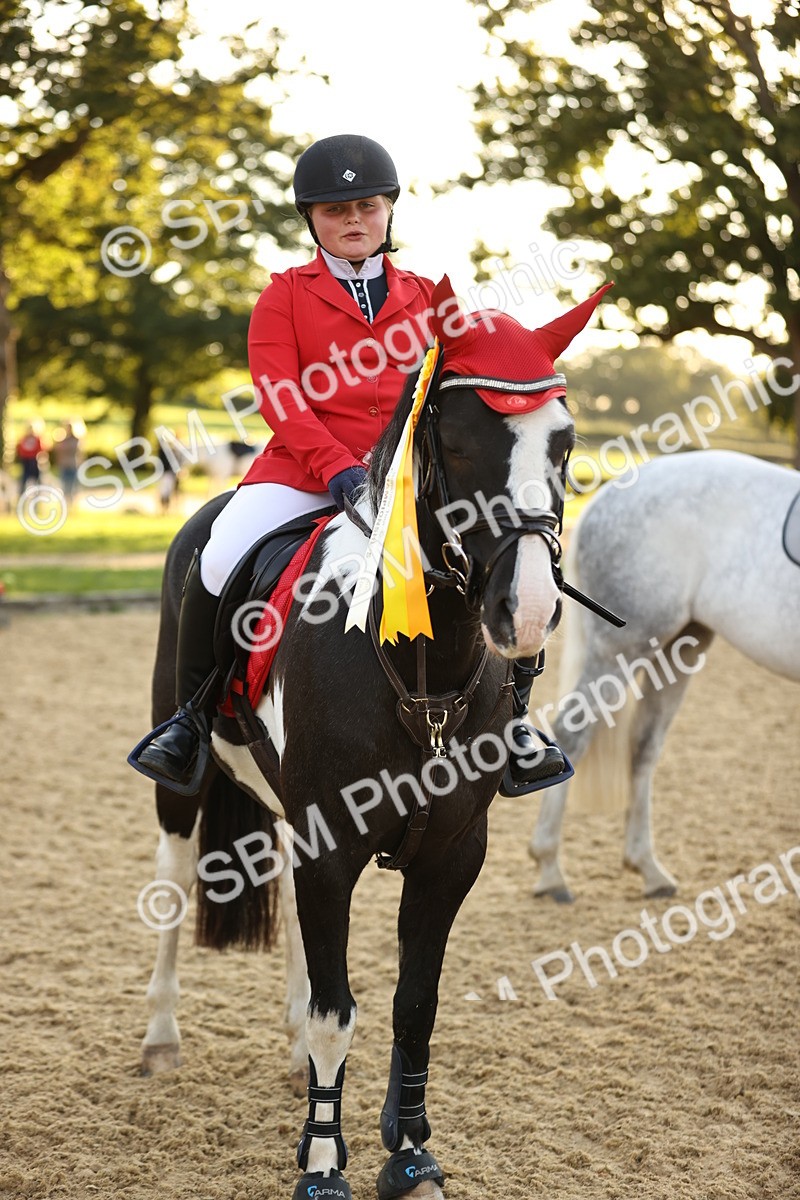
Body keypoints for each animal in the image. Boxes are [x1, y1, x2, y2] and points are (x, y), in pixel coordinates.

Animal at [137, 277, 610, 1199]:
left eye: (565, 443)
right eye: (455, 443)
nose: (529, 609)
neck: (422, 671)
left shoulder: (452, 853)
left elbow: (411, 1004)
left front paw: (413, 1152)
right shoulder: (331, 845)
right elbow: (338, 1012)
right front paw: (324, 1164)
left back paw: (288, 1054)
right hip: (185, 785)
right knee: (174, 883)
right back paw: (162, 1038)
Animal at [530, 448, 800, 903]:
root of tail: (608, 496)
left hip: (679, 650)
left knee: (643, 746)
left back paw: (648, 869)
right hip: (621, 651)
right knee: (573, 732)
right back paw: (550, 869)